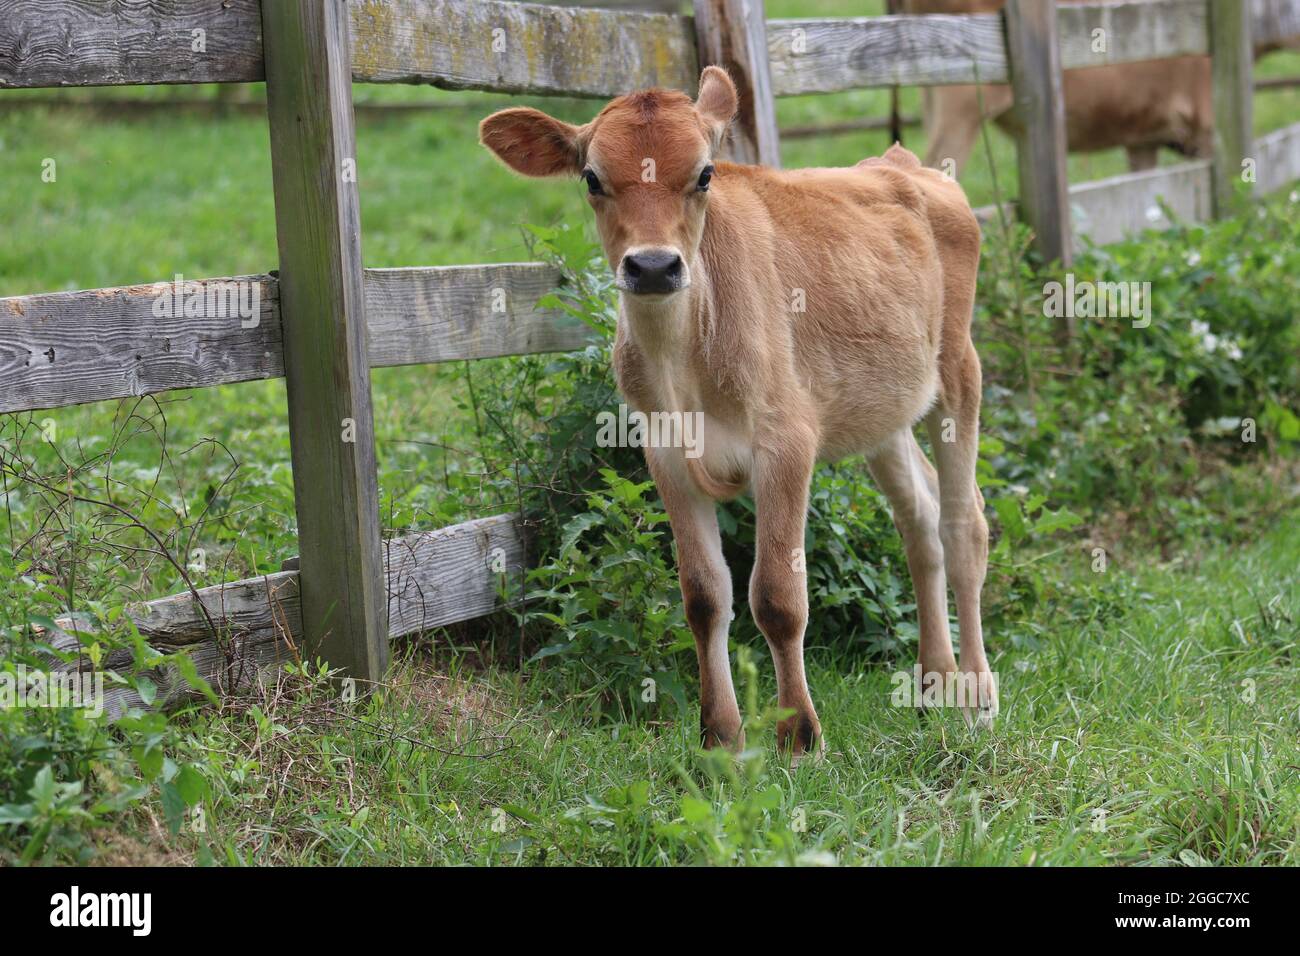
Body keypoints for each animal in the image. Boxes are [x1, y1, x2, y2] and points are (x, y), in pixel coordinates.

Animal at [479, 67, 995, 763]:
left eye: (705, 174)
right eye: (591, 177)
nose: (652, 266)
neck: (684, 359)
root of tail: (901, 164)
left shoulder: (786, 440)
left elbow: (777, 596)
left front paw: (799, 735)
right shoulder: (663, 450)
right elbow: (704, 595)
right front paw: (720, 735)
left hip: (959, 371)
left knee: (964, 524)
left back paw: (976, 695)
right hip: (882, 410)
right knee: (919, 519)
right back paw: (935, 682)